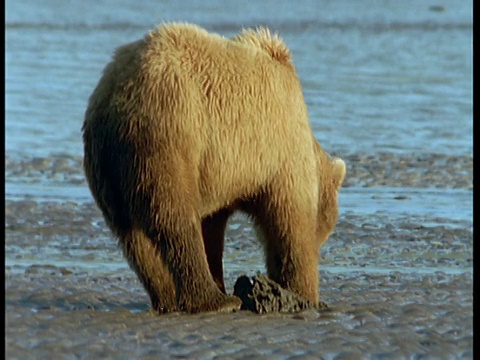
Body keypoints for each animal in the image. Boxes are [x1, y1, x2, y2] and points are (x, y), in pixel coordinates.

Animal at [82, 22, 344, 314]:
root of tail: (114, 98)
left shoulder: (217, 174)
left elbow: (212, 228)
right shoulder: (279, 151)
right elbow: (289, 223)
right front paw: (306, 296)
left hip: (110, 168)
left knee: (134, 239)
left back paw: (169, 299)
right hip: (171, 133)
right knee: (176, 219)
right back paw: (216, 301)